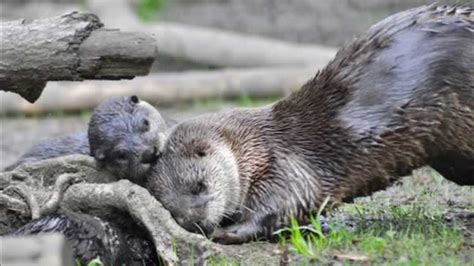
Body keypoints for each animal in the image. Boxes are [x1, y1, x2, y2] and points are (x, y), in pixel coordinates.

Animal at [146, 4, 472, 244]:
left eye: (199, 186)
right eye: (170, 208)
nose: (196, 222)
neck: (256, 145)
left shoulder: (286, 168)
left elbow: (285, 205)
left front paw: (228, 232)